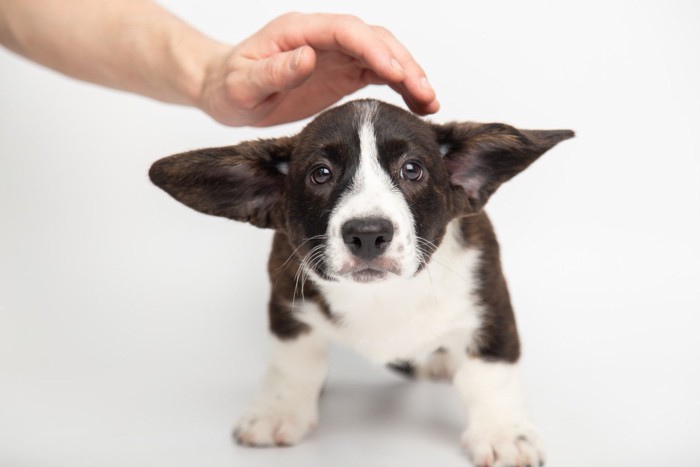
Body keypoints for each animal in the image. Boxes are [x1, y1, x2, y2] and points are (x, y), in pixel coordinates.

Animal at [149, 99, 576, 467]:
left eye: (412, 169)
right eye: (320, 173)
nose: (368, 234)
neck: (381, 295)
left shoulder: (490, 304)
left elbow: (490, 373)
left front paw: (504, 433)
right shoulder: (288, 306)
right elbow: (293, 363)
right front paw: (277, 410)